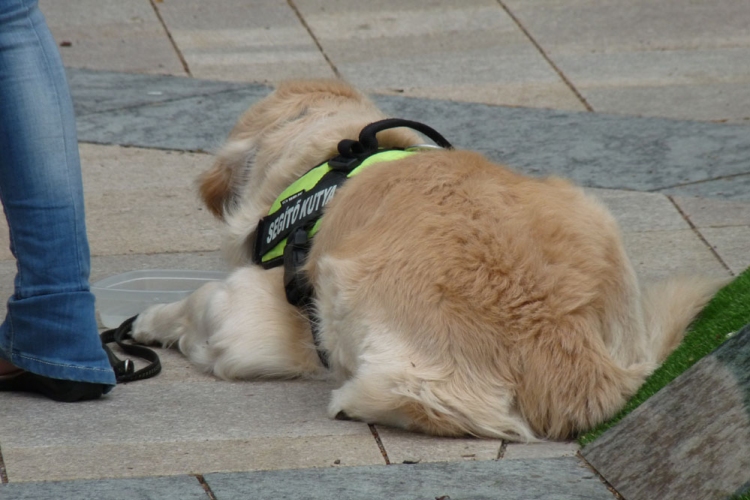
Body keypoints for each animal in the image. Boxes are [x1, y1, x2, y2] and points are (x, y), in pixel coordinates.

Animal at [132, 79, 720, 442]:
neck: (333, 156)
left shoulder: (251, 316)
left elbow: (198, 306)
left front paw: (147, 323)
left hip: (351, 301)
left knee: (427, 401)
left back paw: (353, 400)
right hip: (597, 218)